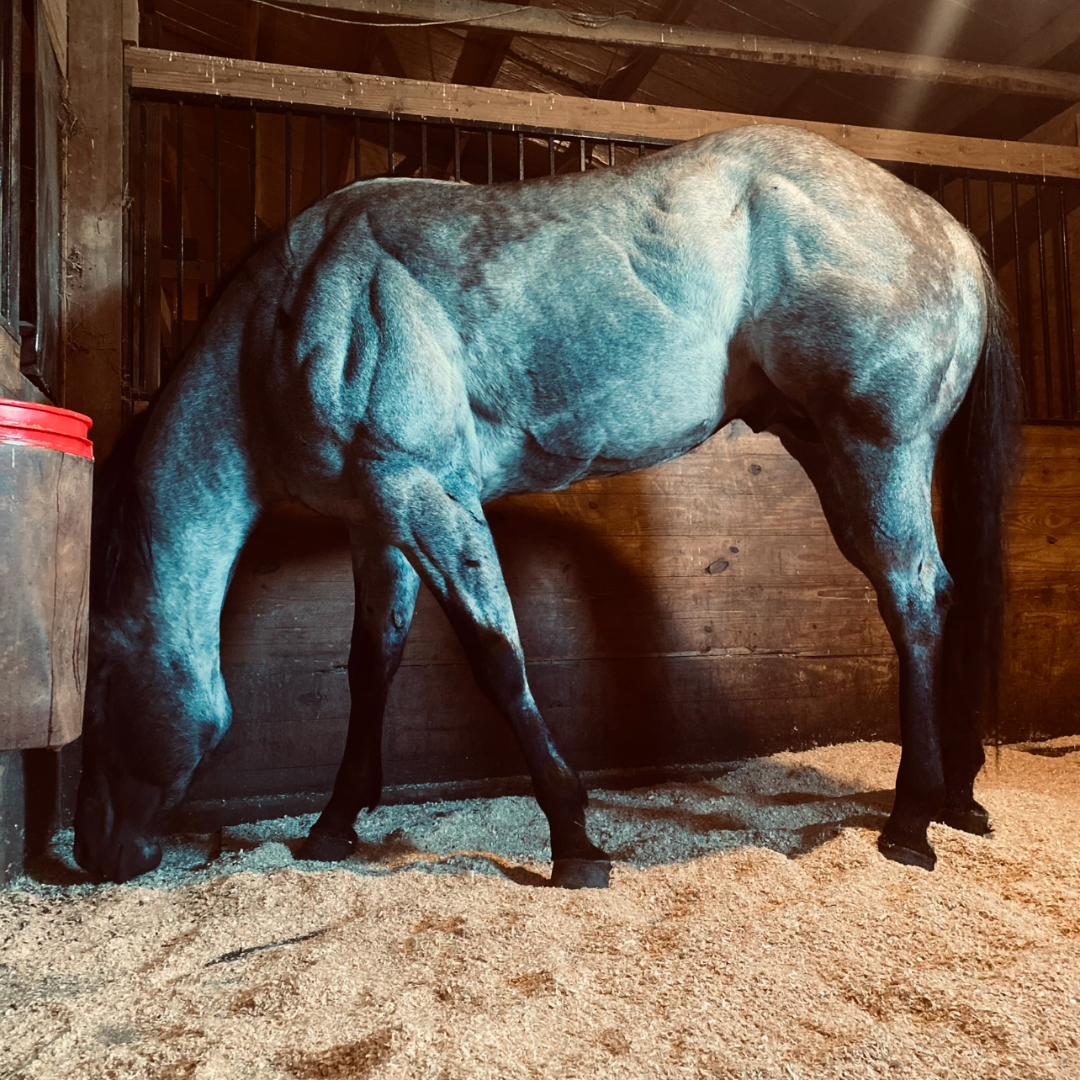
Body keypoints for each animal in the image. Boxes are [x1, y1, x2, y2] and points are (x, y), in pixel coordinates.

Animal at [73, 123, 1021, 886]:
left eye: (101, 680)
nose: (90, 853)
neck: (297, 309)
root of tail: (946, 228)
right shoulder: (376, 520)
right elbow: (371, 666)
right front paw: (334, 824)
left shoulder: (427, 494)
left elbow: (498, 660)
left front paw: (574, 840)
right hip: (834, 455)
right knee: (943, 596)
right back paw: (958, 796)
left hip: (876, 454)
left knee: (917, 601)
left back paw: (911, 821)